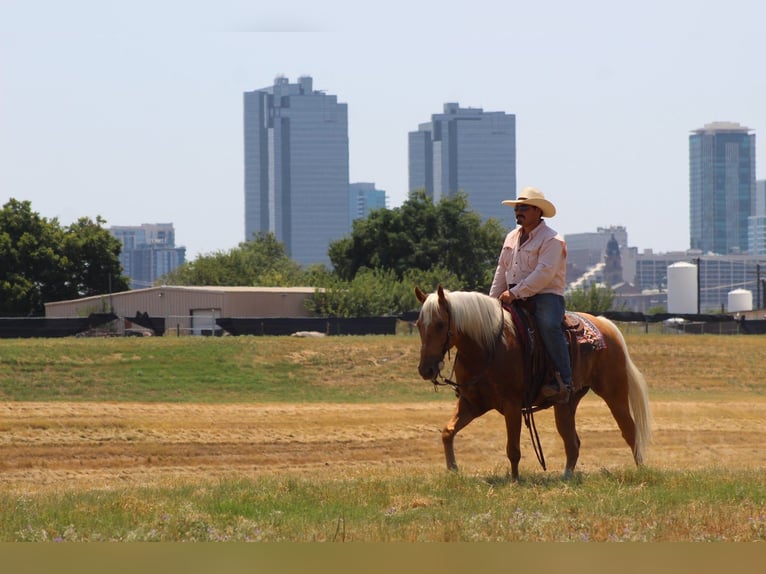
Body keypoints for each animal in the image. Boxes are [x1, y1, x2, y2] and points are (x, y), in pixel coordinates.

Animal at [414, 285, 652, 480]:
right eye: (418, 325)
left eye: (440, 324)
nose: (426, 369)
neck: (488, 347)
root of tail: (605, 323)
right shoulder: (471, 403)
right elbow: (447, 432)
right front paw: (453, 469)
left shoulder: (512, 405)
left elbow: (513, 448)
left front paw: (515, 480)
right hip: (566, 404)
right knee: (572, 442)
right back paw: (566, 477)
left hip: (614, 392)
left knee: (630, 431)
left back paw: (641, 470)